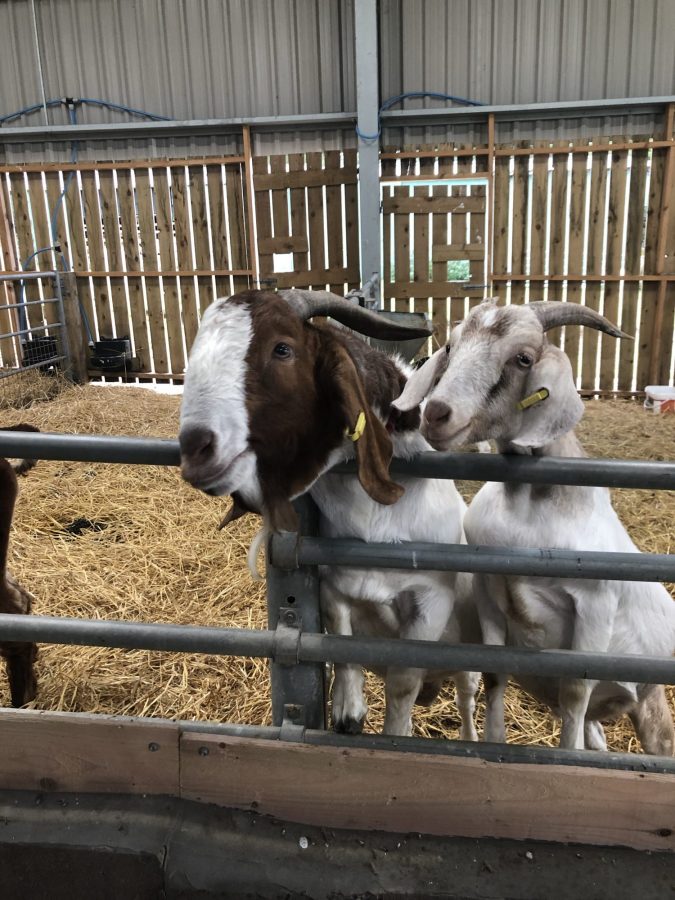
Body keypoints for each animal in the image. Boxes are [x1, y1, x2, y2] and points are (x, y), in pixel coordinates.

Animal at [179, 289, 480, 737]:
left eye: (282, 348)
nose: (196, 448)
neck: (374, 521)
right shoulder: (332, 584)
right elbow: (341, 642)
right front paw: (348, 713)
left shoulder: (430, 600)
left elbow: (403, 682)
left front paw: (395, 733)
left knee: (466, 697)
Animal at [394, 299, 675, 754]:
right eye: (451, 347)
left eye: (523, 358)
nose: (436, 414)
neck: (528, 508)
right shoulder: (490, 590)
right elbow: (494, 672)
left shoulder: (596, 606)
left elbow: (575, 690)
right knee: (595, 731)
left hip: (651, 701)